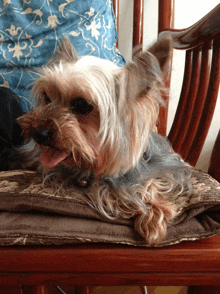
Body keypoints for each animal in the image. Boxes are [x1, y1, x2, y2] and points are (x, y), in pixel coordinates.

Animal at [10, 36, 191, 243]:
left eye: (82, 105)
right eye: (47, 97)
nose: (38, 133)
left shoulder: (167, 168)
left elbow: (151, 182)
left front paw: (154, 217)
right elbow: (114, 190)